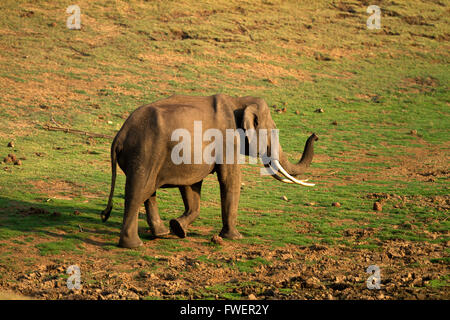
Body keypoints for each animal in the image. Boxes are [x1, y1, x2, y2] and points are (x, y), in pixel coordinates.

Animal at [101, 94, 320, 249]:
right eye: (273, 131)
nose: (316, 135)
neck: (239, 101)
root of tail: (119, 136)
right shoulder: (228, 141)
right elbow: (230, 179)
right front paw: (234, 237)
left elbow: (191, 186)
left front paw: (178, 227)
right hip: (144, 153)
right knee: (138, 191)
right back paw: (133, 245)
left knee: (148, 191)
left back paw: (161, 233)